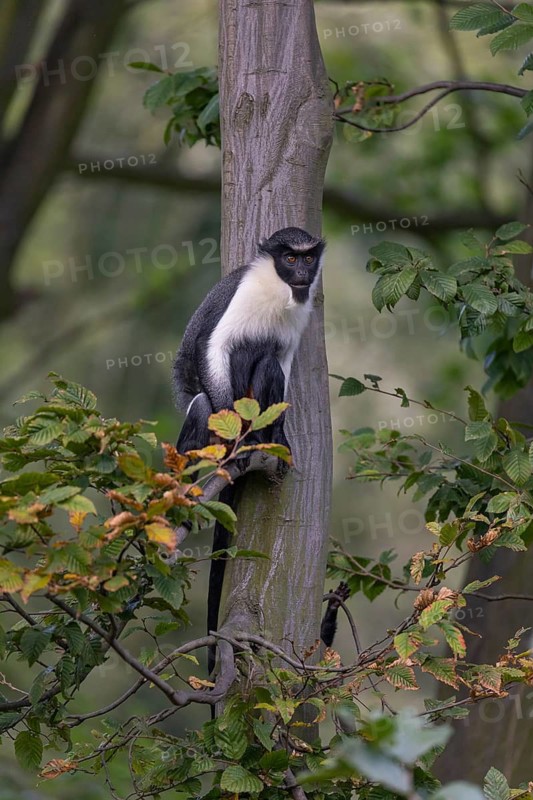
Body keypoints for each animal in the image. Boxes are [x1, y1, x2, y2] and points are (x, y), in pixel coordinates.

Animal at [173, 226, 325, 674]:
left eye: (307, 258)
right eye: (289, 258)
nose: (302, 274)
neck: (277, 288)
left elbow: (283, 361)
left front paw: (281, 436)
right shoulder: (242, 296)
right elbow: (214, 348)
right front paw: (233, 446)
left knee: (269, 361)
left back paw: (262, 439)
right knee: (214, 389)